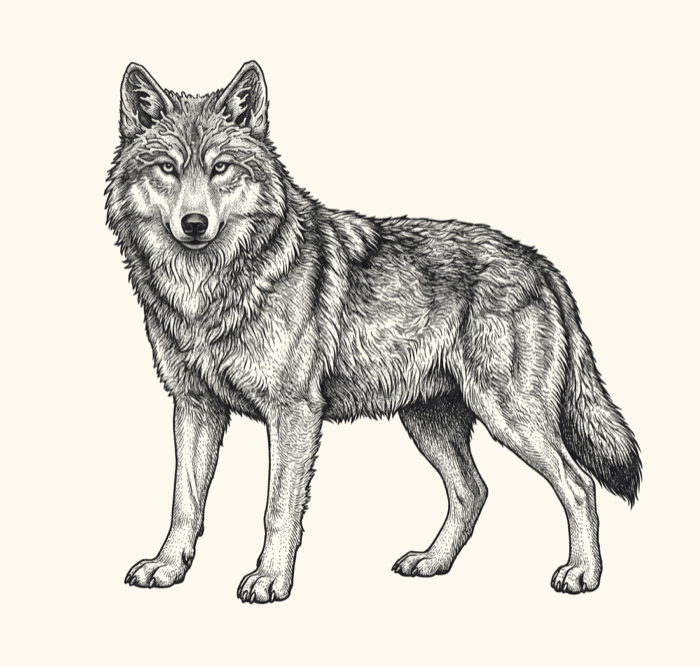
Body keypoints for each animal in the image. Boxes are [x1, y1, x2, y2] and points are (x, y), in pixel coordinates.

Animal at [106, 61, 641, 603]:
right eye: (167, 168)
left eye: (221, 168)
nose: (194, 224)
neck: (209, 285)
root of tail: (540, 262)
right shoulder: (194, 406)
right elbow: (184, 502)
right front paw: (168, 567)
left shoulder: (294, 411)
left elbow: (278, 509)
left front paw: (271, 578)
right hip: (430, 424)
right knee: (474, 491)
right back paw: (433, 561)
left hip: (510, 417)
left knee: (578, 485)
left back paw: (582, 573)